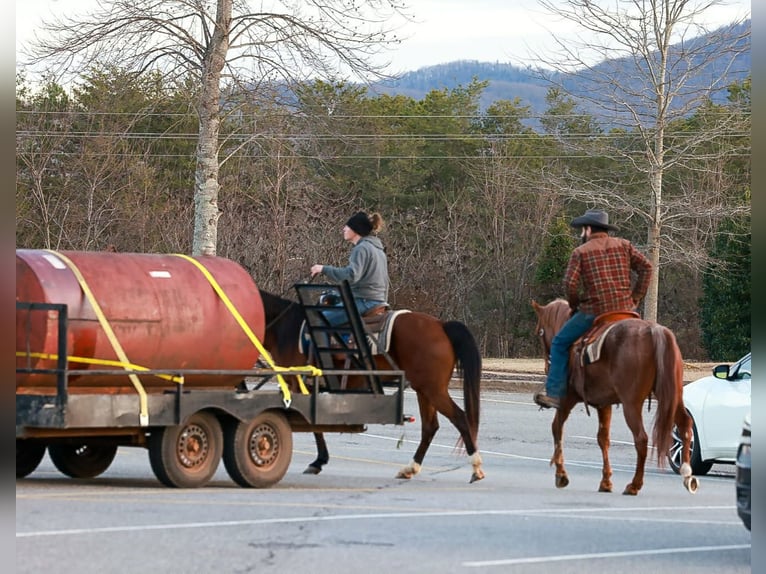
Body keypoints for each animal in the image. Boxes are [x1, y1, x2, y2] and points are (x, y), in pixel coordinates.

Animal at [259, 288, 485, 483]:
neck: (285, 327)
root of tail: (441, 325)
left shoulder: (296, 384)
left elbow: (311, 424)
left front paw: (317, 461)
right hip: (424, 390)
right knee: (430, 427)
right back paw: (410, 469)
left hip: (433, 390)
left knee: (460, 418)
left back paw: (476, 468)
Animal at [531, 298, 699, 495]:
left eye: (539, 332)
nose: (547, 366)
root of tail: (654, 330)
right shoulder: (604, 404)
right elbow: (603, 439)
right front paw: (606, 482)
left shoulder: (567, 400)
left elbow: (557, 428)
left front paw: (561, 475)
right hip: (673, 397)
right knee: (685, 426)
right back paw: (687, 474)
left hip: (631, 404)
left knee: (641, 439)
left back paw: (634, 485)